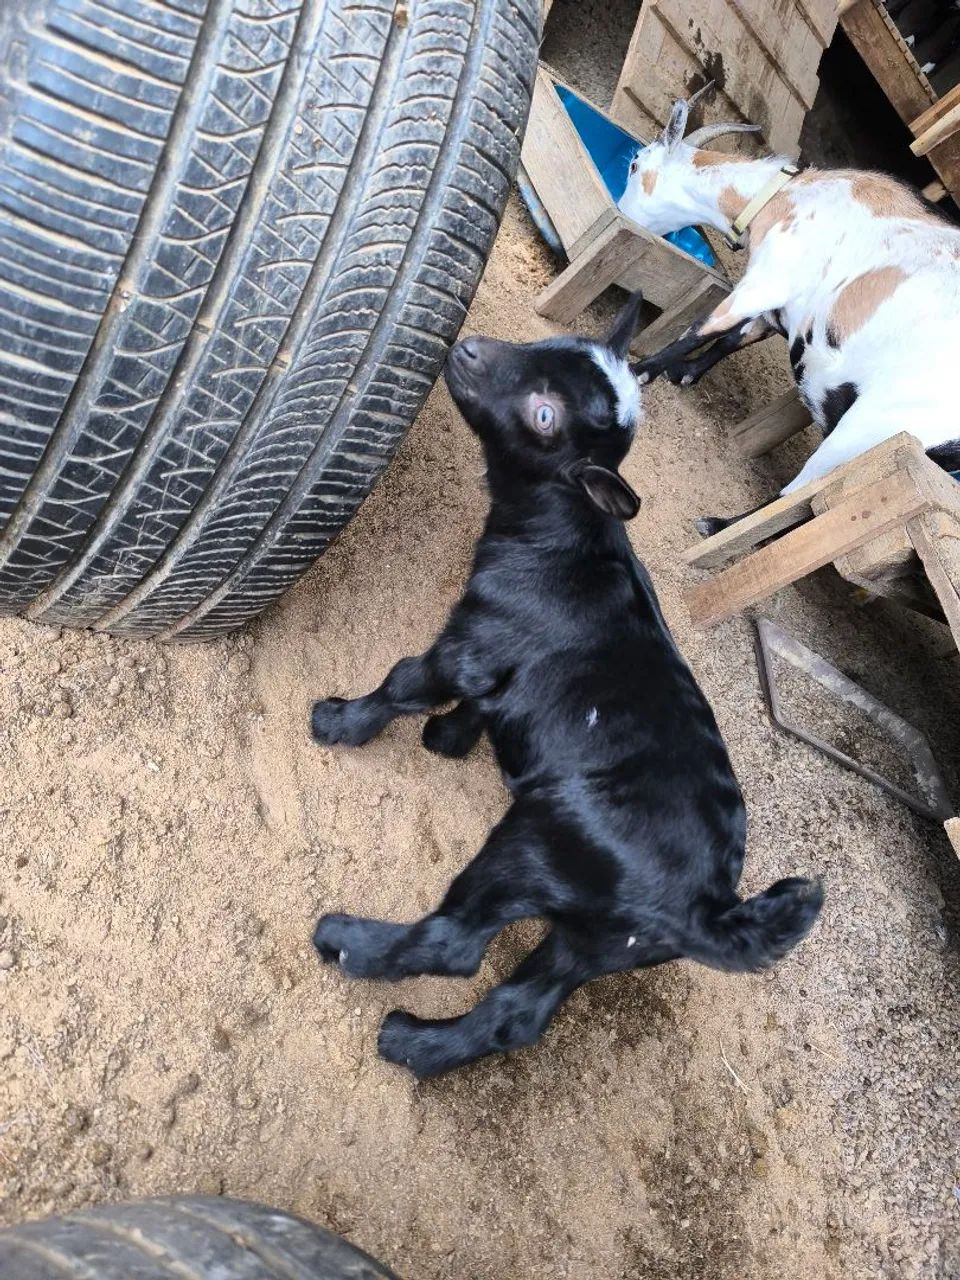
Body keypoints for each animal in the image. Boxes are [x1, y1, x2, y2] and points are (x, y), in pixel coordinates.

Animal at [309, 295, 823, 1079]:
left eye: (545, 415)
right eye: (552, 345)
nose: (468, 350)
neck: (567, 536)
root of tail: (707, 909)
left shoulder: (473, 639)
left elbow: (407, 682)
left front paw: (340, 722)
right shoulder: (498, 662)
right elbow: (481, 703)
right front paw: (449, 739)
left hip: (540, 845)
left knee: (455, 945)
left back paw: (347, 944)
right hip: (602, 938)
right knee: (517, 1013)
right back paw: (415, 1043)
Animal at [618, 98, 960, 532]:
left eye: (634, 164)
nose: (618, 210)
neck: (784, 196)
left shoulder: (766, 281)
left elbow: (703, 328)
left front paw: (640, 371)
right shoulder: (778, 308)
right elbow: (735, 338)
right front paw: (685, 373)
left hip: (869, 429)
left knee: (796, 496)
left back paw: (718, 525)